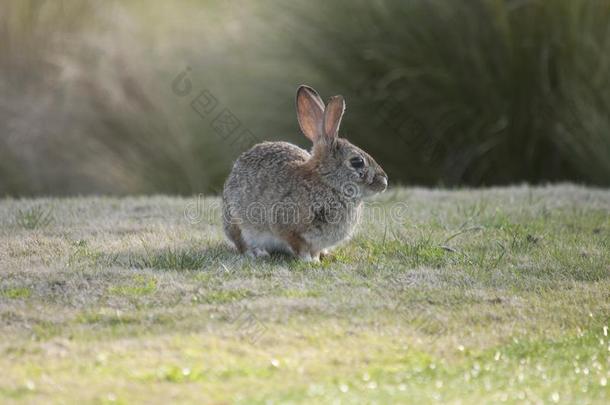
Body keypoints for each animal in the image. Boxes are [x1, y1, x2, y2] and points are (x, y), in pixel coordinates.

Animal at [222, 85, 384, 262]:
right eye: (357, 162)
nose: (384, 182)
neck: (327, 182)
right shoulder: (287, 226)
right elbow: (299, 245)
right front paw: (309, 261)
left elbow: (316, 249)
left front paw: (318, 258)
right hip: (237, 223)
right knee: (242, 244)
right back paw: (257, 253)